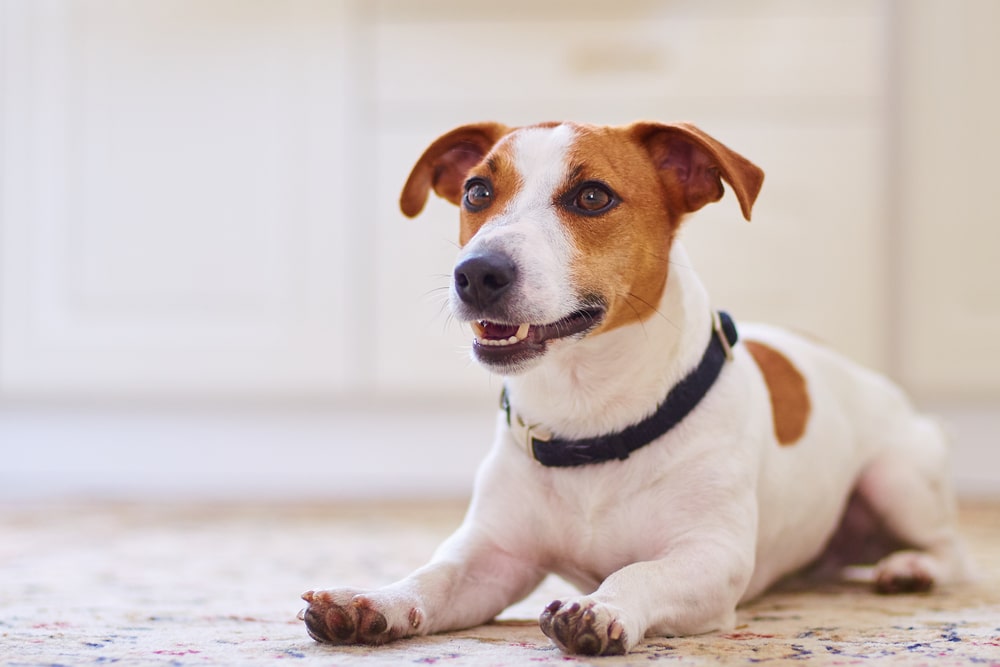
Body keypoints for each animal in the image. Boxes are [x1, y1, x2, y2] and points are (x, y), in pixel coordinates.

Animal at [300, 121, 972, 656]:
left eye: (593, 196)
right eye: (477, 191)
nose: (477, 273)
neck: (590, 420)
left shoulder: (710, 558)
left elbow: (640, 574)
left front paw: (601, 608)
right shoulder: (493, 557)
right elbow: (432, 578)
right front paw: (374, 603)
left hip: (897, 480)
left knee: (951, 549)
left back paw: (910, 567)